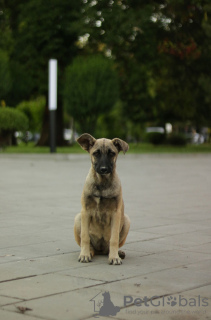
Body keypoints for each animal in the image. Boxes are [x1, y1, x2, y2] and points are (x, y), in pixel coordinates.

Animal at [74, 133, 130, 264]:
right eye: (96, 153)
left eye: (112, 153)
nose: (104, 169)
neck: (102, 183)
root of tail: (100, 250)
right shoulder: (85, 212)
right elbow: (85, 237)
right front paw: (84, 255)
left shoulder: (116, 213)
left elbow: (114, 239)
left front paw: (114, 257)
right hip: (78, 218)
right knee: (89, 245)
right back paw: (88, 252)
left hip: (126, 220)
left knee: (111, 246)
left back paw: (118, 253)